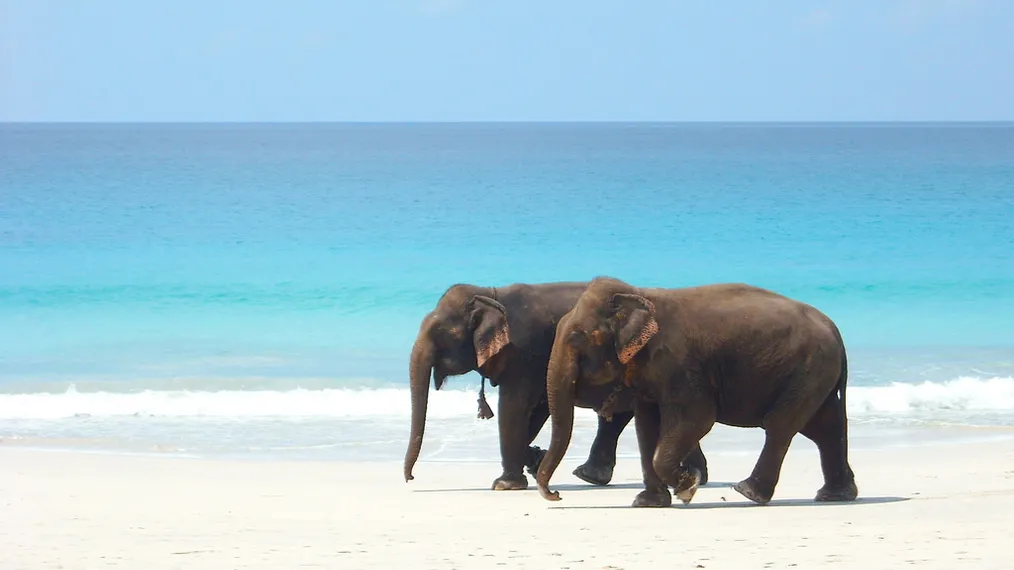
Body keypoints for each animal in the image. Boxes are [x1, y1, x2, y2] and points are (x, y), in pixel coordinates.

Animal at [403, 281, 710, 491]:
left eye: (441, 333)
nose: (410, 478)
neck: (491, 293)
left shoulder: (526, 352)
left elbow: (515, 406)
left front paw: (505, 484)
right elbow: (537, 409)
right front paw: (534, 460)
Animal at [535, 276, 858, 508]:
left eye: (576, 338)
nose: (556, 495)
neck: (640, 295)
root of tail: (836, 331)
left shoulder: (679, 363)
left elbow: (698, 418)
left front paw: (687, 488)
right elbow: (646, 426)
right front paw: (649, 503)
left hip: (809, 370)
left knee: (781, 425)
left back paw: (747, 492)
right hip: (815, 376)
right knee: (825, 428)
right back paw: (835, 495)